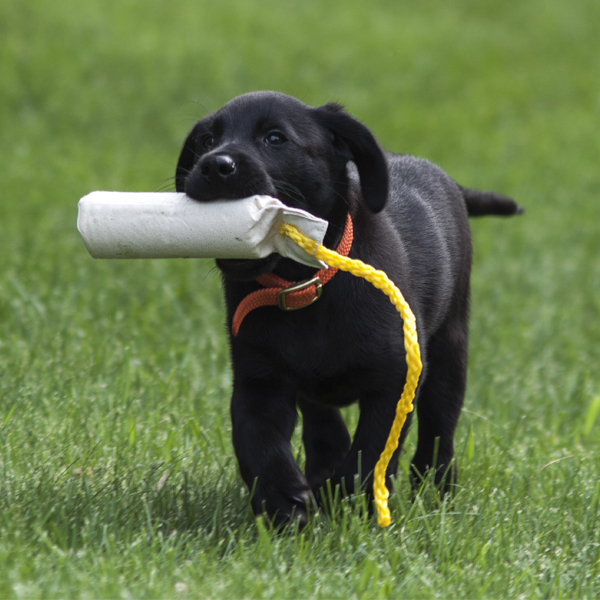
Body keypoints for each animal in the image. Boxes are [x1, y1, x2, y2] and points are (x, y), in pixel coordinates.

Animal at [175, 91, 520, 528]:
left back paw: (435, 490)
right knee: (323, 423)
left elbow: (371, 452)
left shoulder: (397, 379)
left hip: (449, 352)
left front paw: (350, 504)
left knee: (439, 431)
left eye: (275, 138)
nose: (215, 165)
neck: (305, 286)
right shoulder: (258, 379)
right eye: (206, 140)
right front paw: (283, 502)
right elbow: (257, 441)